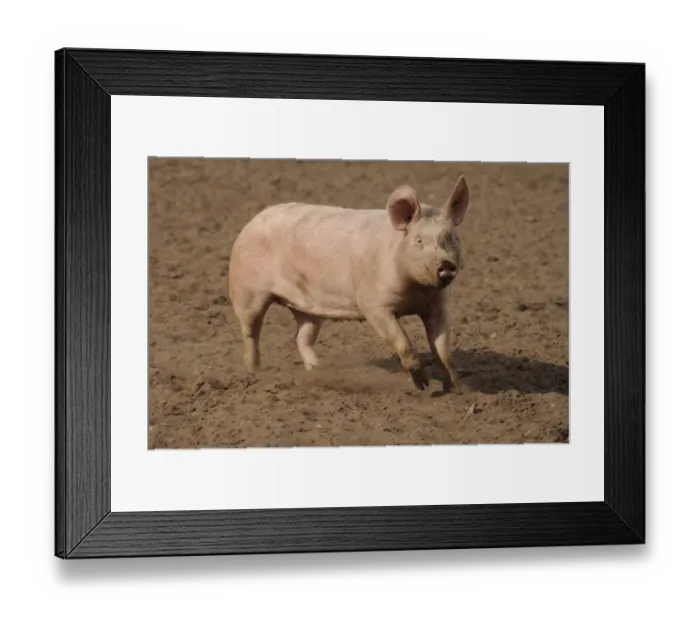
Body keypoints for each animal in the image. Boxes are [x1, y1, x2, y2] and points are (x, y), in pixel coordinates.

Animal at [228, 175, 471, 392]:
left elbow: (442, 349)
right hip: (246, 290)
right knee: (250, 332)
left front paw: (457, 390)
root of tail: (253, 220)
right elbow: (401, 340)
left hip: (309, 308)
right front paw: (423, 385)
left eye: (451, 237)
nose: (446, 265)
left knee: (301, 337)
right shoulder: (373, 304)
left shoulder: (438, 304)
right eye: (419, 241)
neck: (417, 292)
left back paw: (317, 372)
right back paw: (255, 373)